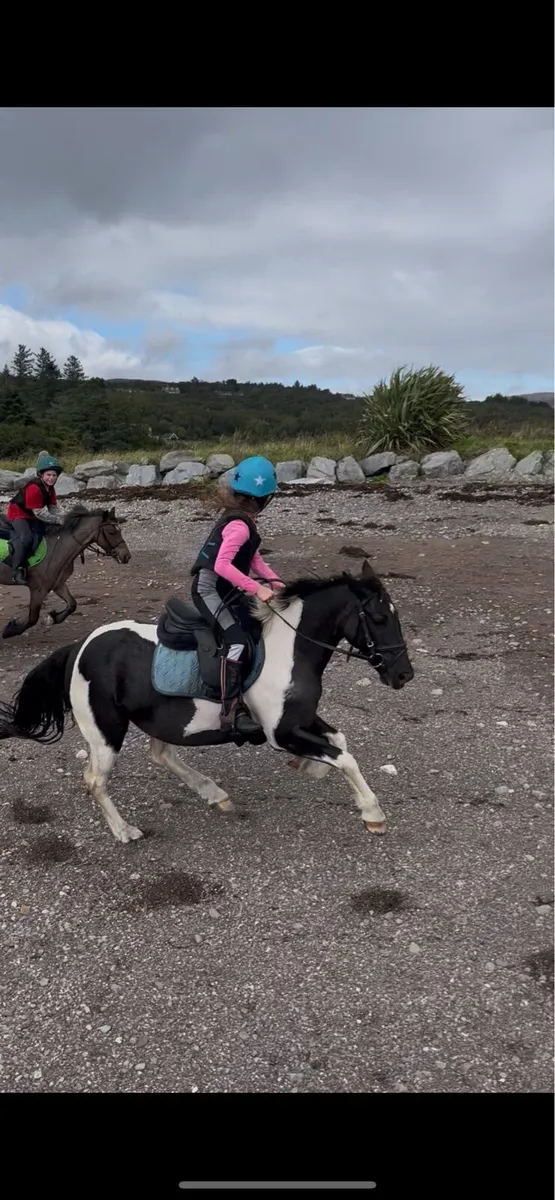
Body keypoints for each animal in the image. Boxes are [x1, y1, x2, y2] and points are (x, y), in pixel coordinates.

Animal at [0, 505, 131, 639]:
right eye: (111, 532)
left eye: (119, 530)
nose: (126, 556)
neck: (57, 548)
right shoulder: (38, 590)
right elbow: (33, 618)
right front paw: (10, 630)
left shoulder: (58, 584)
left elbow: (72, 604)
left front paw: (53, 617)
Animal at [0, 559, 414, 843]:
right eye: (379, 617)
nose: (404, 675)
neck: (290, 649)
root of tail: (77, 648)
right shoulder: (281, 733)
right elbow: (344, 757)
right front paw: (372, 813)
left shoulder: (299, 720)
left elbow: (339, 742)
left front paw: (310, 768)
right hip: (105, 731)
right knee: (95, 780)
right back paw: (125, 830)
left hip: (158, 719)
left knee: (161, 755)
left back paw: (214, 793)